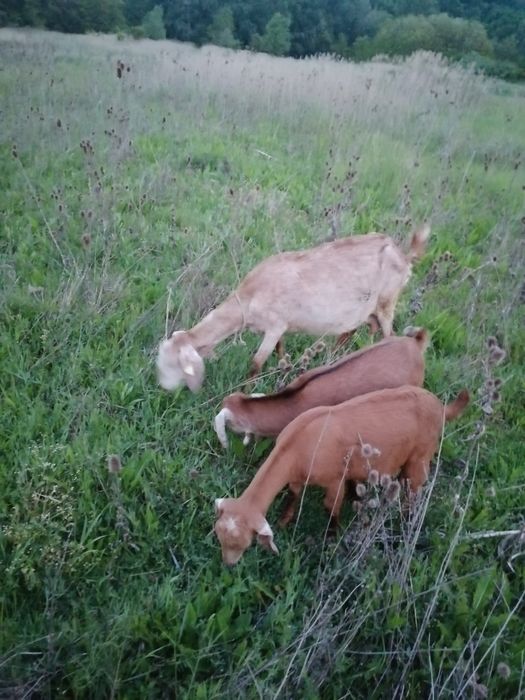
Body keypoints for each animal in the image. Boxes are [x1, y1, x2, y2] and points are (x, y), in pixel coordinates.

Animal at [157, 225, 431, 392]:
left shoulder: (275, 325)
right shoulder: (281, 327)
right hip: (365, 309)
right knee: (355, 331)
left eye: (173, 365)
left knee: (389, 335)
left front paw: (245, 391)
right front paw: (284, 367)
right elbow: (280, 349)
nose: (163, 388)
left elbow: (255, 364)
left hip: (387, 302)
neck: (251, 295)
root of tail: (404, 257)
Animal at [214, 385, 469, 565]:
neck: (297, 445)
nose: (228, 564)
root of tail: (440, 407)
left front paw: (331, 540)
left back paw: (407, 527)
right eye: (219, 536)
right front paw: (284, 522)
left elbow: (331, 508)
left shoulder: (335, 480)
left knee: (413, 495)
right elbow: (293, 496)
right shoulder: (296, 477)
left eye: (243, 543)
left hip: (420, 459)